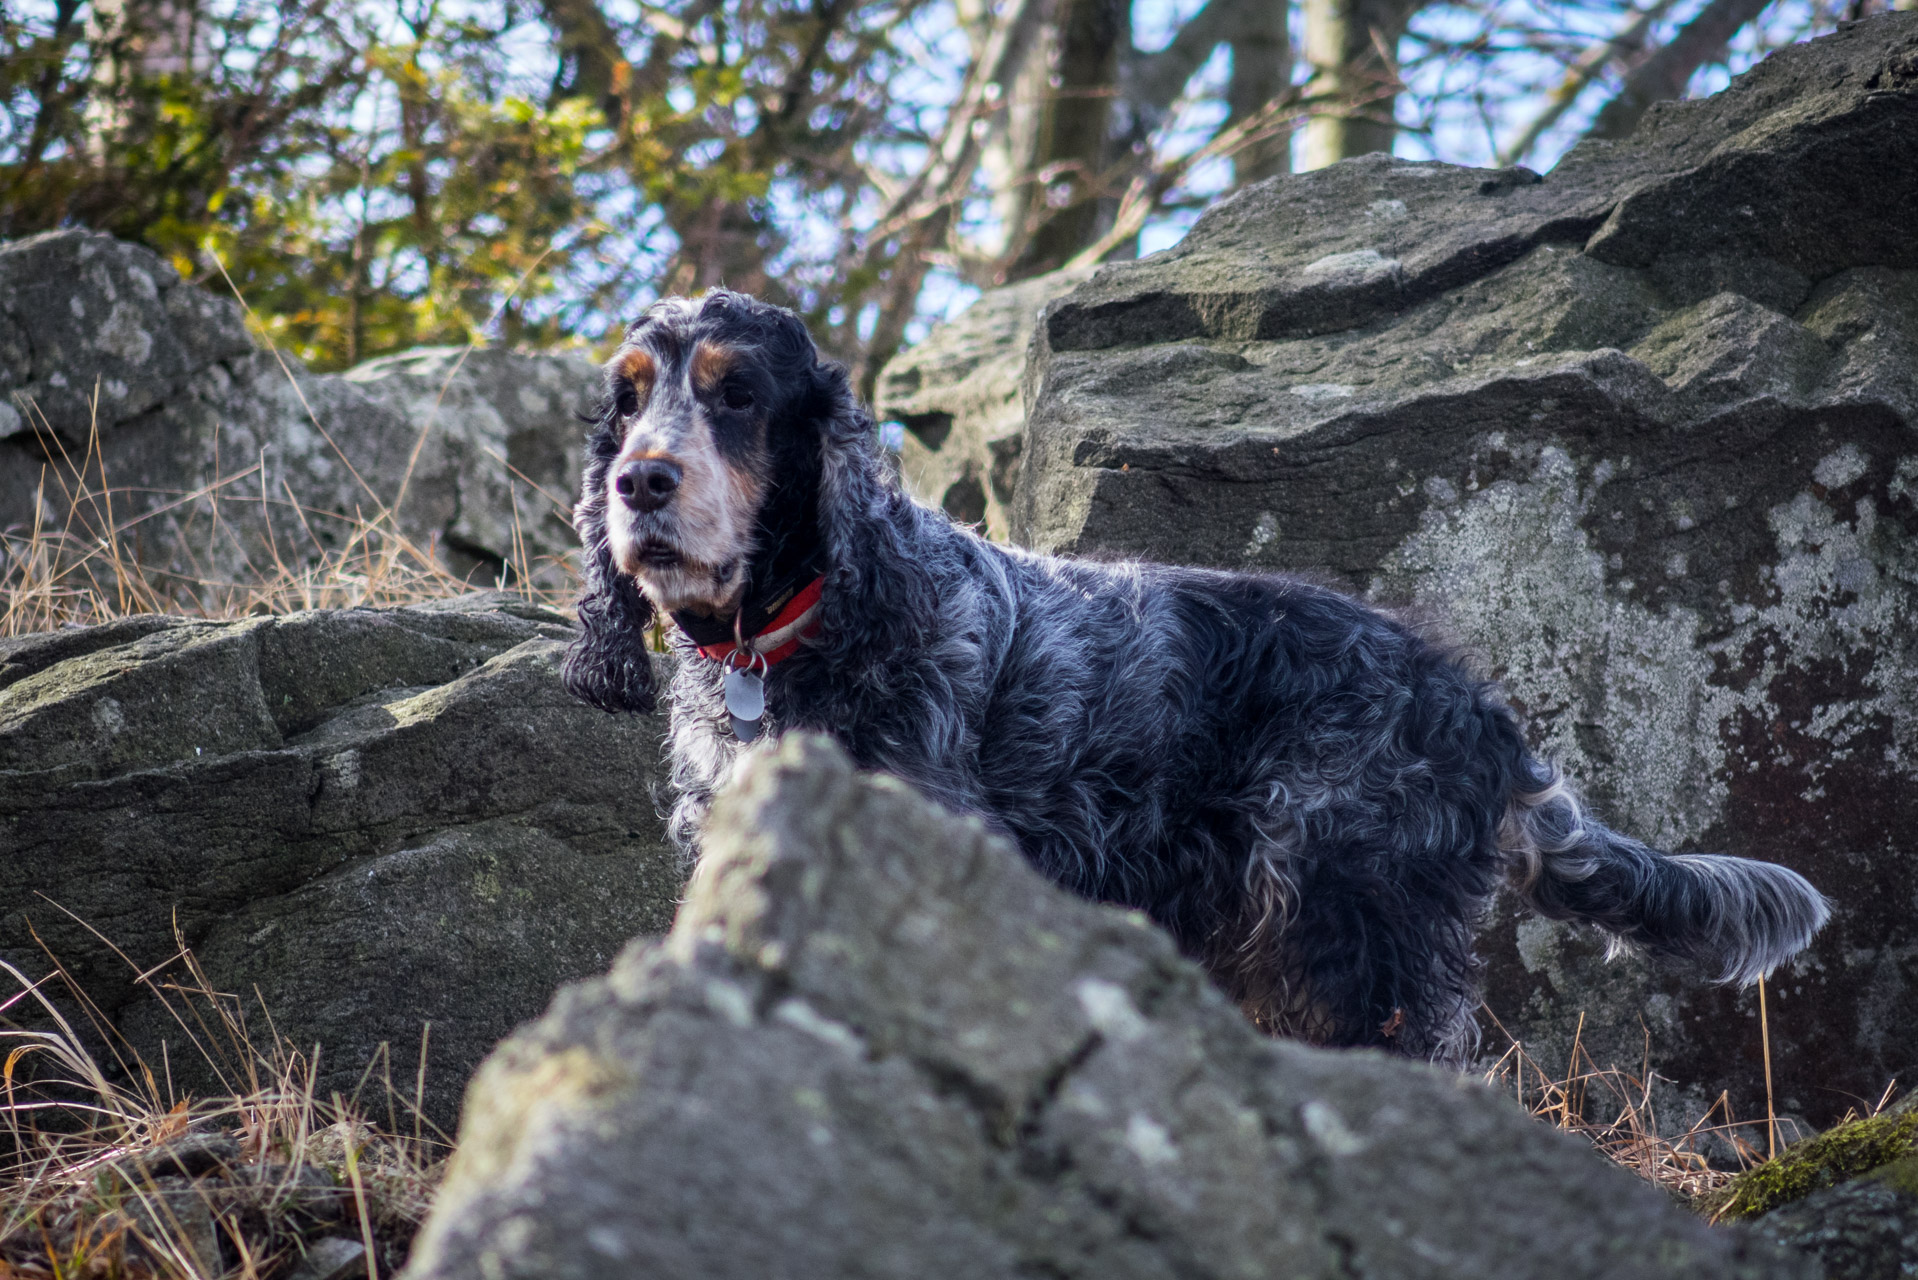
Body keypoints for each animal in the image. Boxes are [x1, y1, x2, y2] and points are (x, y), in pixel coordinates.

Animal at [563, 287, 1825, 1059]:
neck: (788, 639)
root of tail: (1482, 708)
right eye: (626, 397)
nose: (639, 481)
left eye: (734, 393)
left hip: (1348, 918)